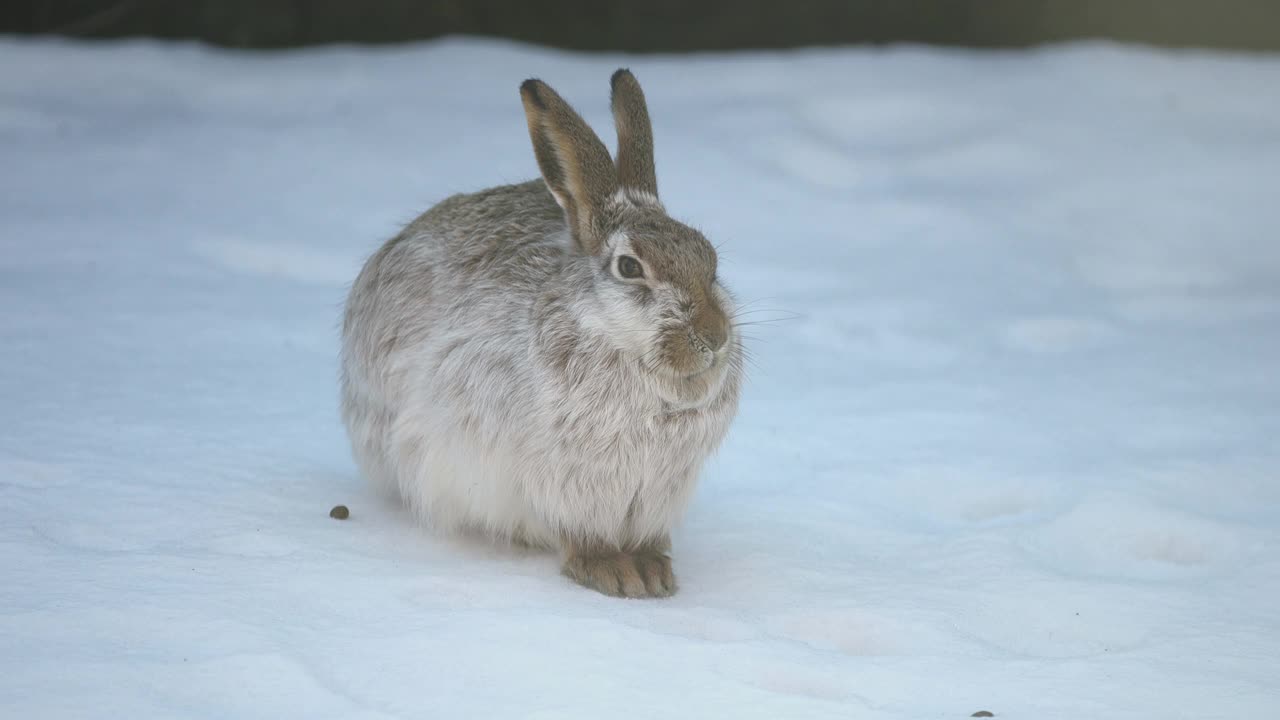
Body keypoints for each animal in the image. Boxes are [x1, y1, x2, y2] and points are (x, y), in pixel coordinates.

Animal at [340, 68, 742, 594]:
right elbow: (578, 534)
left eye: (709, 261)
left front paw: (653, 570)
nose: (714, 338)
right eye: (630, 267)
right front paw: (615, 573)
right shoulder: (562, 481)